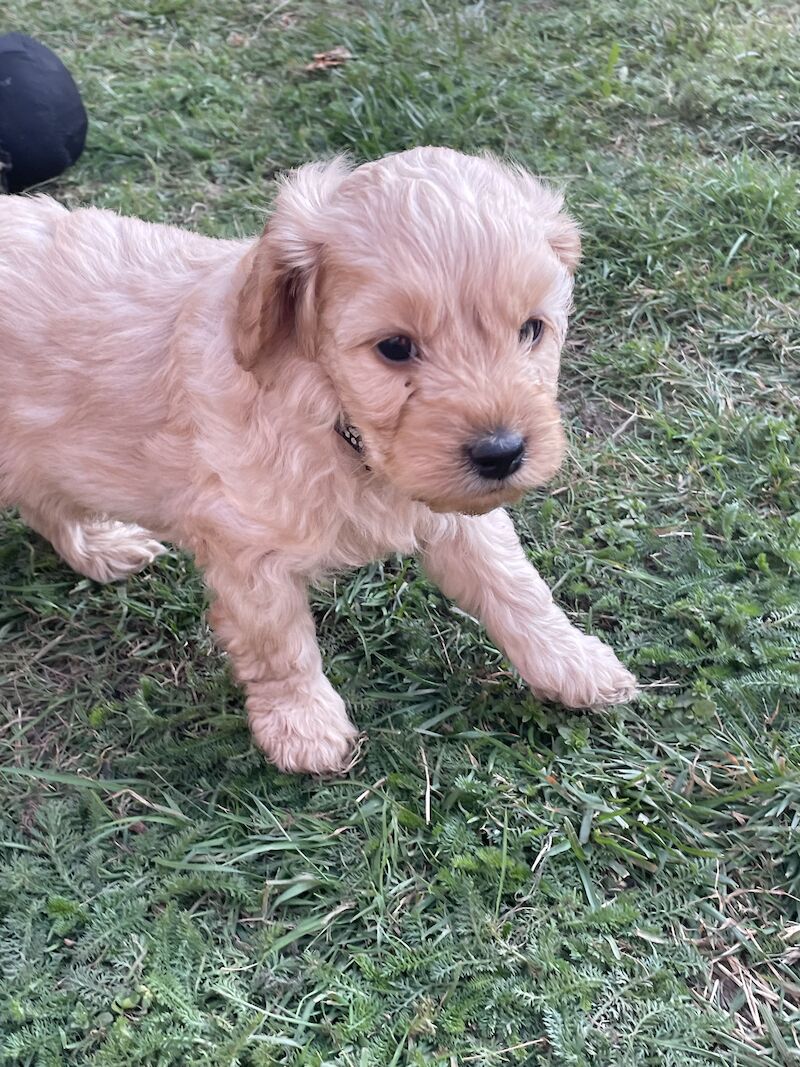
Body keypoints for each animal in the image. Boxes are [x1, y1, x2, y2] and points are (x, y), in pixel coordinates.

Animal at [0, 146, 640, 772]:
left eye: (532, 330)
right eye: (395, 348)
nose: (502, 453)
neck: (336, 419)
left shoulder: (453, 506)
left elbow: (514, 583)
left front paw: (571, 663)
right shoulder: (247, 546)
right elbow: (278, 644)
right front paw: (301, 724)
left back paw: (99, 547)